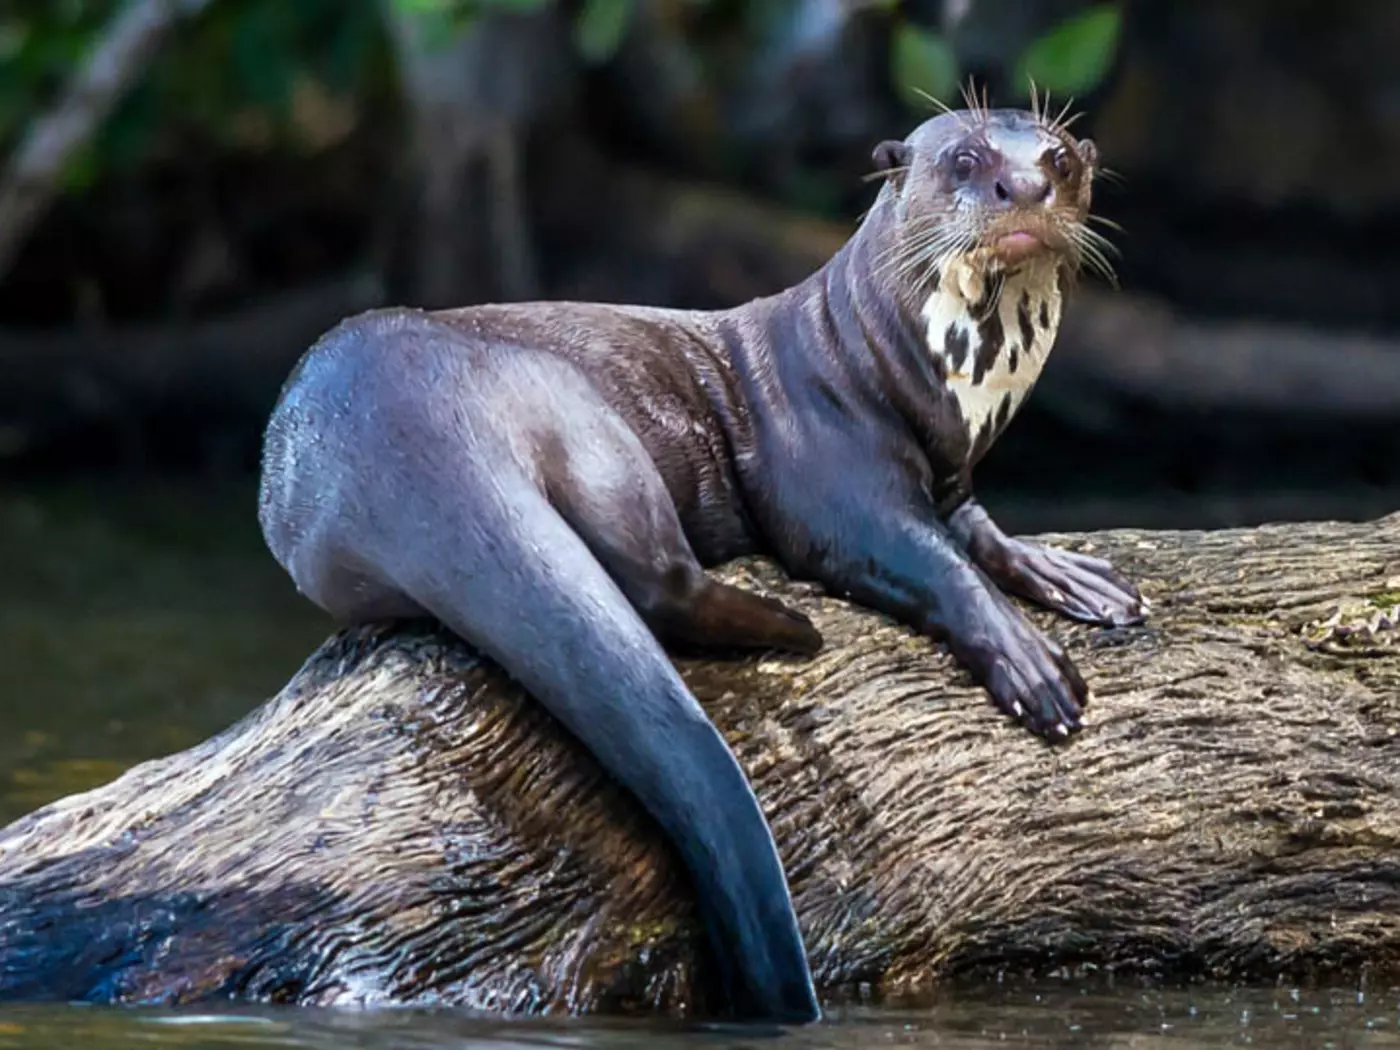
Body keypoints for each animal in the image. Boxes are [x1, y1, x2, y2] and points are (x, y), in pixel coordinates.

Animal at [257, 102, 1143, 1024]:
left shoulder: (953, 473)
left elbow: (980, 531)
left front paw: (1073, 577)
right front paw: (1029, 663)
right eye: (966, 160)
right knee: (655, 579)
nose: (1026, 187)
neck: (896, 368)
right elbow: (922, 558)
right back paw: (792, 628)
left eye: (1059, 159)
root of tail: (399, 426)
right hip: (576, 412)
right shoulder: (829, 472)